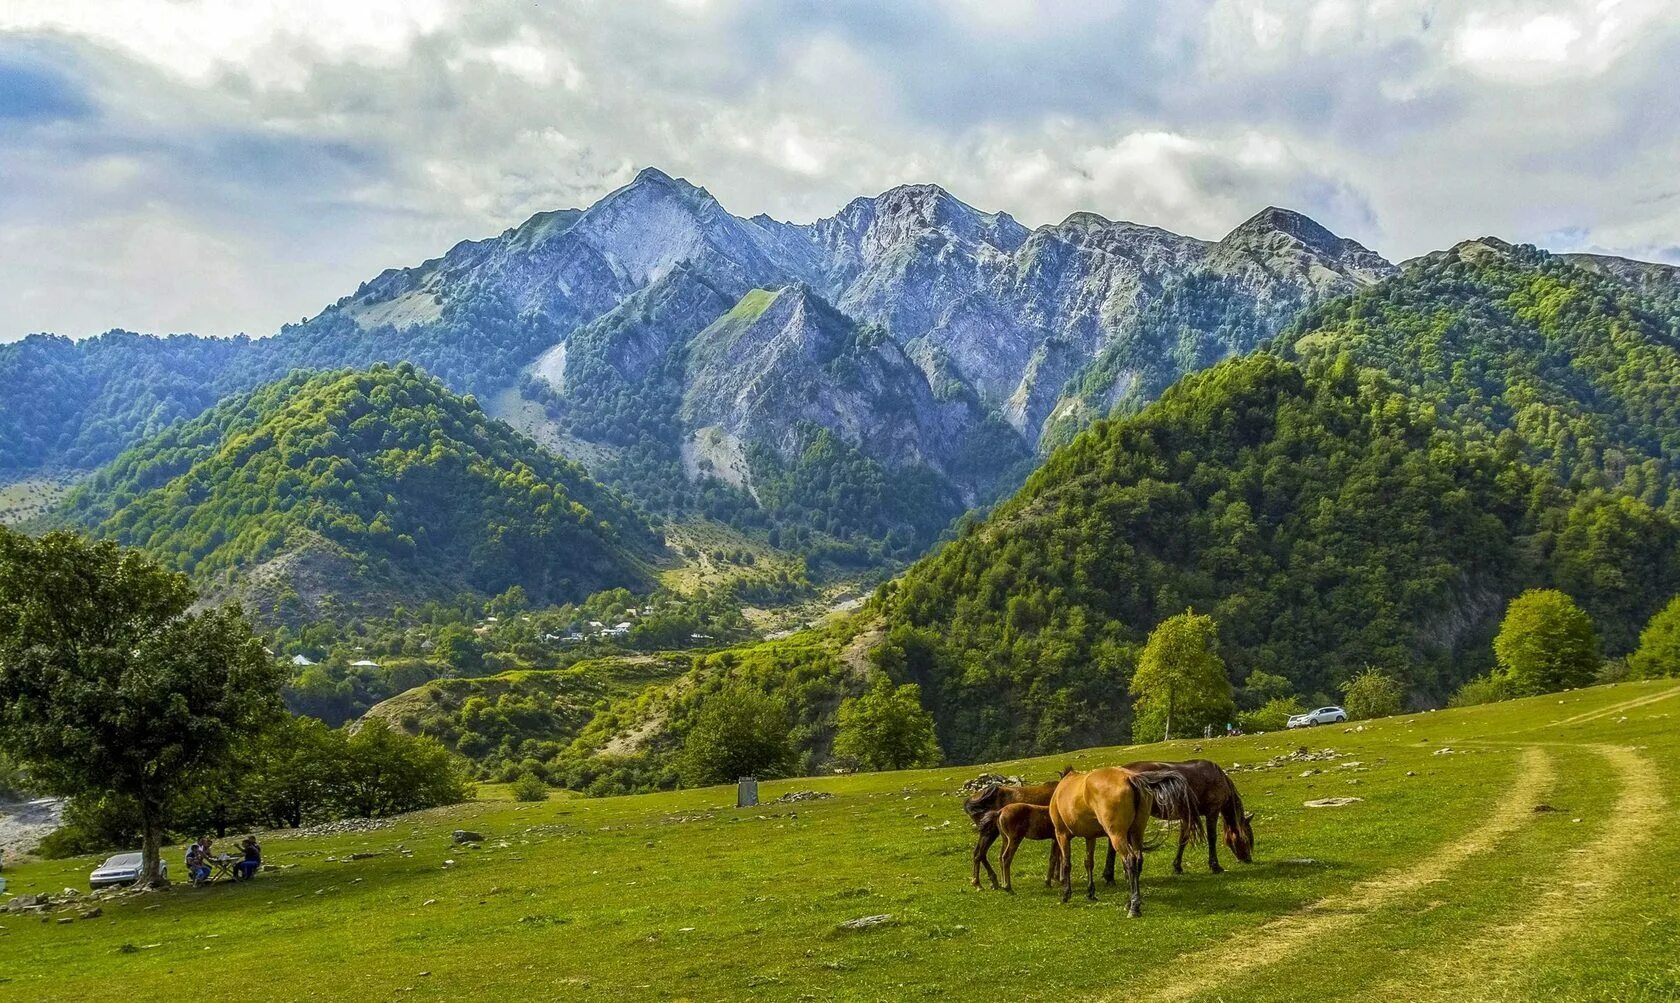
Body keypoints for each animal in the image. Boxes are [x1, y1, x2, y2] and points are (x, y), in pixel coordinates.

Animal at [1095, 756, 1256, 880]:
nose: (1248, 859)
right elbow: (1212, 838)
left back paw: (1109, 874)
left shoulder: (1186, 816)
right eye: (1247, 837)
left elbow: (1182, 840)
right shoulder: (1213, 811)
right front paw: (1215, 866)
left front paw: (1177, 866)